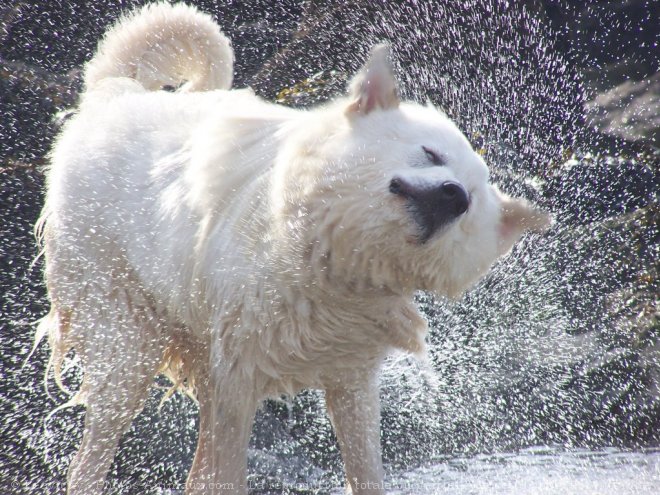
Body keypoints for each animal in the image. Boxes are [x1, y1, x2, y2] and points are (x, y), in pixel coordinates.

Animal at [36, 1, 552, 494]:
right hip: (124, 340)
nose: (455, 195)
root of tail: (116, 93)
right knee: (92, 452)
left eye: (472, 206)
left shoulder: (351, 377)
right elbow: (227, 474)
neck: (324, 254)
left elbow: (366, 469)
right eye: (431, 154)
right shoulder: (237, 376)